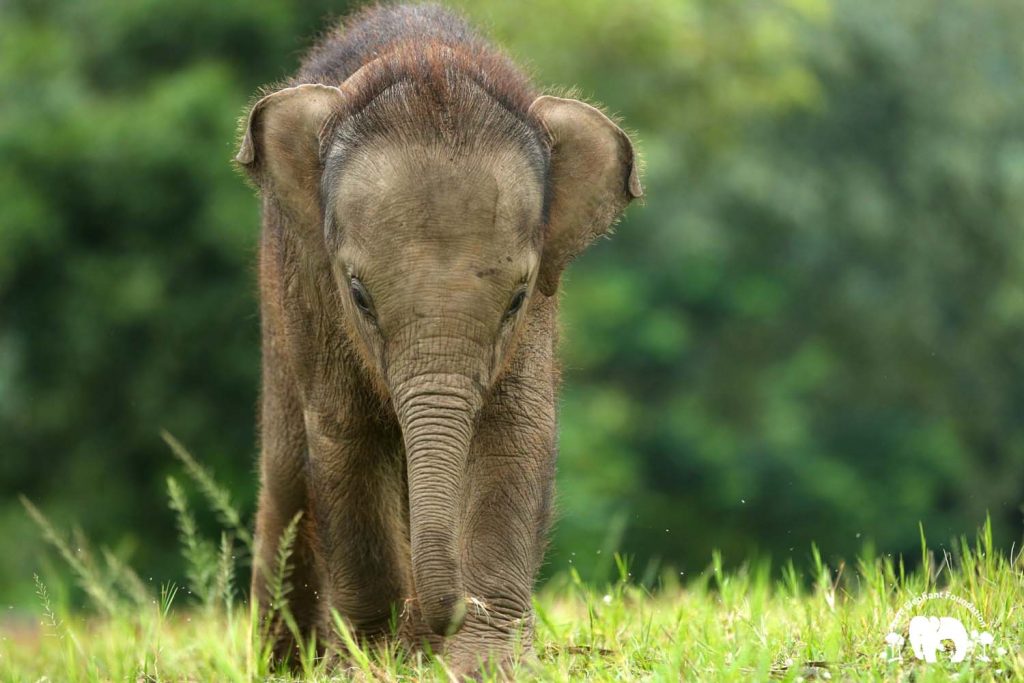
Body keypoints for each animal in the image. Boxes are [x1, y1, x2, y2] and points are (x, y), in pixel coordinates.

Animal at [234, 3, 641, 676]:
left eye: (517, 299)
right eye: (359, 295)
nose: (449, 612)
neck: (426, 53)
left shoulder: (538, 317)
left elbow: (515, 434)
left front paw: (486, 665)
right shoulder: (312, 292)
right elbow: (347, 437)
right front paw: (369, 664)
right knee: (290, 478)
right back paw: (289, 665)